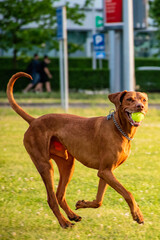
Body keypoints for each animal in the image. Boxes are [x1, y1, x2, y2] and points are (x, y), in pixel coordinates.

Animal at [6, 72, 148, 228]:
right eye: (129, 99)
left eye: (144, 100)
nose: (140, 106)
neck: (119, 129)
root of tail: (34, 120)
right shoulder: (105, 171)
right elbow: (128, 193)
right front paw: (137, 214)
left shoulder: (105, 171)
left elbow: (99, 201)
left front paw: (82, 203)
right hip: (45, 166)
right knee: (51, 198)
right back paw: (64, 222)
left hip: (68, 165)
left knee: (59, 195)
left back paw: (72, 215)